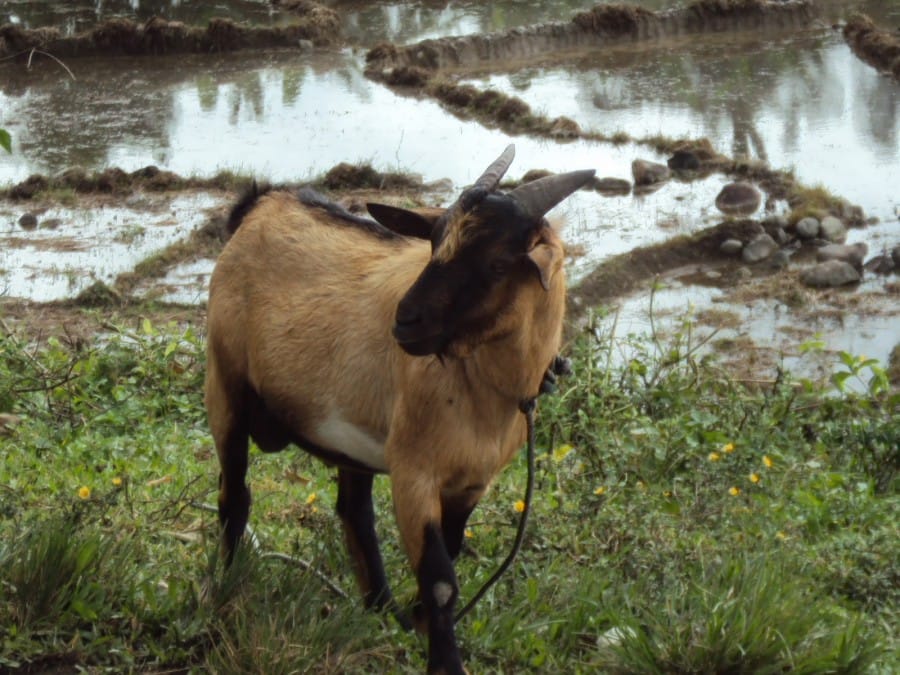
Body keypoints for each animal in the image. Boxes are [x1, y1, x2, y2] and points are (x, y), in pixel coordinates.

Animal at [207, 145, 596, 672]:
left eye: (498, 264)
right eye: (434, 244)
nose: (407, 321)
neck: (483, 385)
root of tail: (261, 205)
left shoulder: (471, 483)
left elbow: (450, 553)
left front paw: (416, 622)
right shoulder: (415, 473)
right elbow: (441, 581)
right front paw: (444, 660)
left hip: (347, 435)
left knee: (354, 511)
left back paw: (381, 609)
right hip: (223, 384)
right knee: (235, 495)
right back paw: (226, 588)